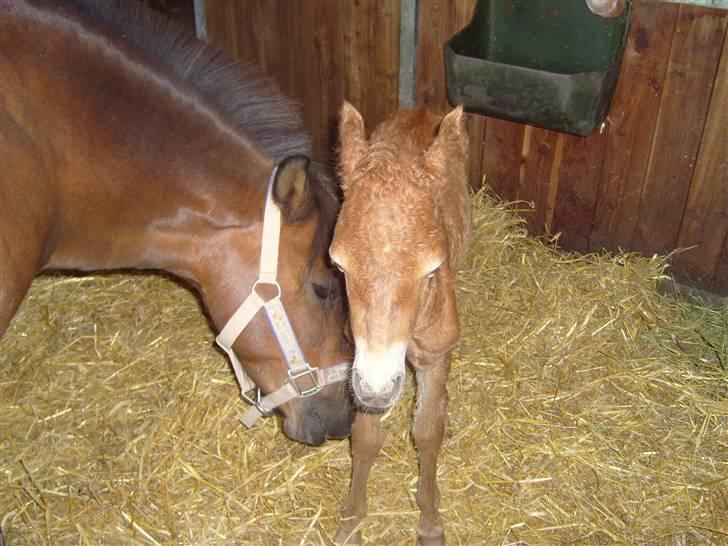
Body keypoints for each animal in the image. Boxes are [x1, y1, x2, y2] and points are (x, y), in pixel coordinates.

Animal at [332, 101, 472, 540]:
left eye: (433, 270)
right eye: (338, 266)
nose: (378, 387)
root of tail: (424, 108)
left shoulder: (436, 355)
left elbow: (427, 432)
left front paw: (429, 522)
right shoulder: (358, 357)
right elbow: (364, 437)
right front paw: (350, 524)